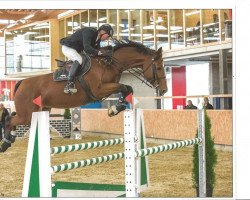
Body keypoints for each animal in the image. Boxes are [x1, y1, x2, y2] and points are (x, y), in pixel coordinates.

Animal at [0, 40, 168, 153]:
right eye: (159, 67)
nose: (164, 90)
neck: (108, 63)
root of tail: (22, 82)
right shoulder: (99, 90)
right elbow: (125, 87)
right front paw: (114, 109)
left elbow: (127, 89)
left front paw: (115, 109)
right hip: (27, 114)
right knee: (9, 119)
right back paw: (6, 143)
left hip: (40, 110)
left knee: (12, 116)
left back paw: (9, 140)